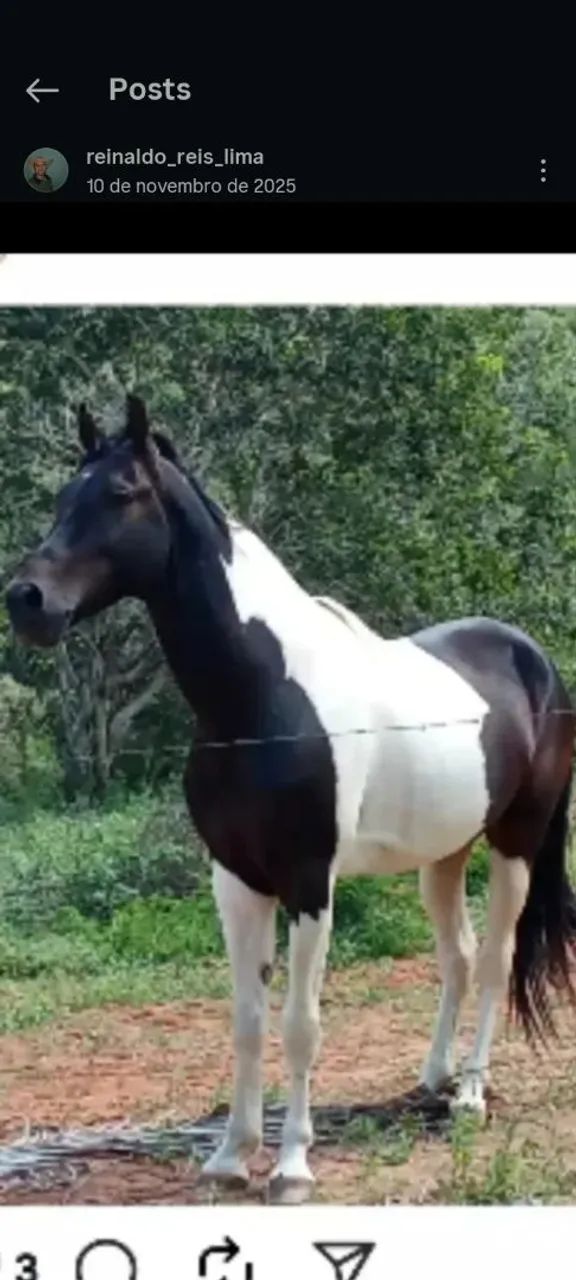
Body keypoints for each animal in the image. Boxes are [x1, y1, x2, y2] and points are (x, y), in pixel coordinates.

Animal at [6, 395, 576, 1203]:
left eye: (121, 493)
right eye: (63, 496)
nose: (27, 601)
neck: (260, 698)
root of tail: (533, 659)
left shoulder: (309, 882)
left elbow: (301, 1024)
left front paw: (292, 1166)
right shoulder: (236, 879)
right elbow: (247, 1020)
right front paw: (228, 1157)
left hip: (516, 843)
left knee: (495, 958)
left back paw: (469, 1094)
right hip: (443, 852)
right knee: (458, 957)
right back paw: (432, 1080)